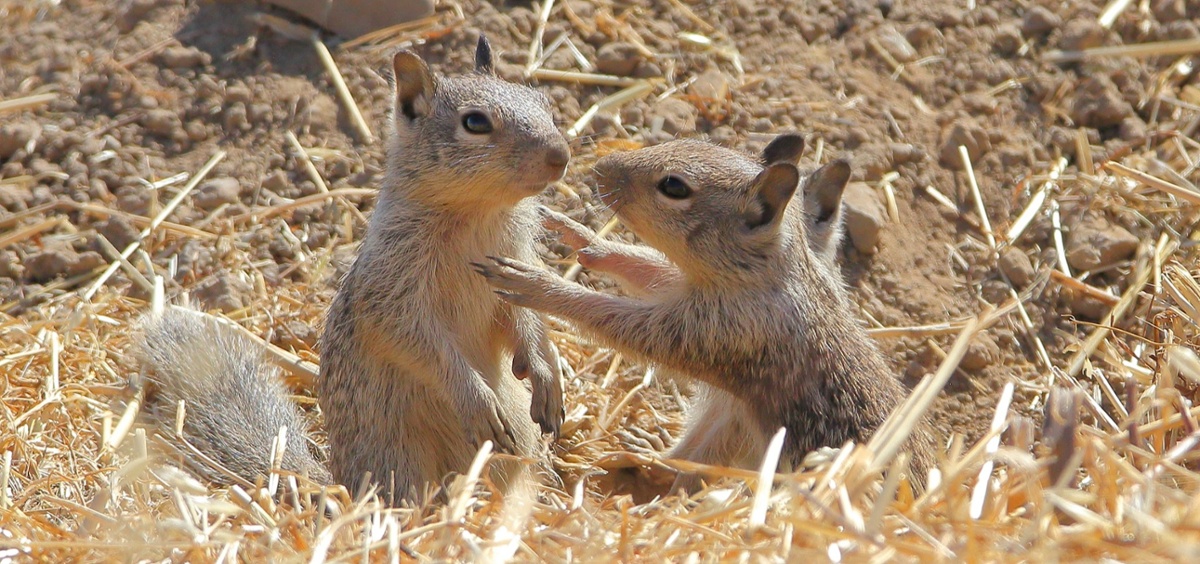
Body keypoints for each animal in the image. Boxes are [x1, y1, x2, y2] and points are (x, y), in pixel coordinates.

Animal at [138, 37, 568, 499]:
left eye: (544, 103)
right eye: (475, 122)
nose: (560, 155)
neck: (477, 213)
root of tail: (337, 482)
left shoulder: (517, 262)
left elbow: (527, 317)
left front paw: (546, 374)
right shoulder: (393, 287)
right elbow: (419, 342)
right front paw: (476, 399)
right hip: (398, 456)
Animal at [475, 135, 936, 489]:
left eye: (675, 187)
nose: (601, 166)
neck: (769, 274)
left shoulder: (719, 330)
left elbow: (611, 316)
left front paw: (535, 282)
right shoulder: (687, 291)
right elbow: (649, 269)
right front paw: (584, 237)